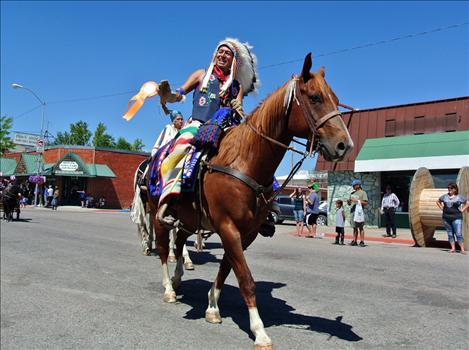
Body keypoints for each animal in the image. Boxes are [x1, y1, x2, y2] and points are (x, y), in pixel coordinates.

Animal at [148, 53, 352, 348]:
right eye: (315, 97)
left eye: (335, 99)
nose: (344, 145)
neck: (245, 159)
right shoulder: (228, 227)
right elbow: (246, 279)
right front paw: (260, 331)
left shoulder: (247, 232)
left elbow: (227, 268)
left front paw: (212, 307)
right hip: (158, 216)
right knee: (164, 250)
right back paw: (168, 289)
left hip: (187, 219)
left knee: (179, 244)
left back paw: (177, 280)